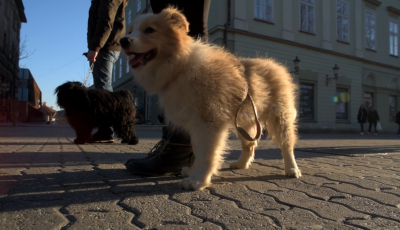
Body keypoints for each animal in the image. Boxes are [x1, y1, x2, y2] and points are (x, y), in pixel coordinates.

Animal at [120, 7, 302, 190]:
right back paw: (241, 164)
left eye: (149, 30)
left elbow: (207, 153)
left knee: (287, 144)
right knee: (250, 145)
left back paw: (292, 169)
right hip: (245, 120)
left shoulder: (209, 122)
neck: (179, 66)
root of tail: (275, 65)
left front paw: (198, 180)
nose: (123, 40)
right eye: (130, 31)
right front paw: (193, 171)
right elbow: (196, 150)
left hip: (280, 117)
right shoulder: (194, 124)